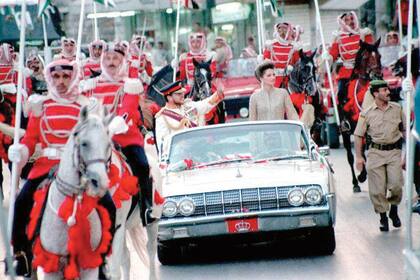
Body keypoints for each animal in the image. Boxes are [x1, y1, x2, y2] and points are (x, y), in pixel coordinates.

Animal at [342, 38, 384, 192]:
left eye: (379, 56)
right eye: (366, 57)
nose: (377, 75)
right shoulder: (357, 129)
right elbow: (359, 155)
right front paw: (361, 176)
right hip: (345, 132)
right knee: (350, 156)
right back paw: (355, 183)